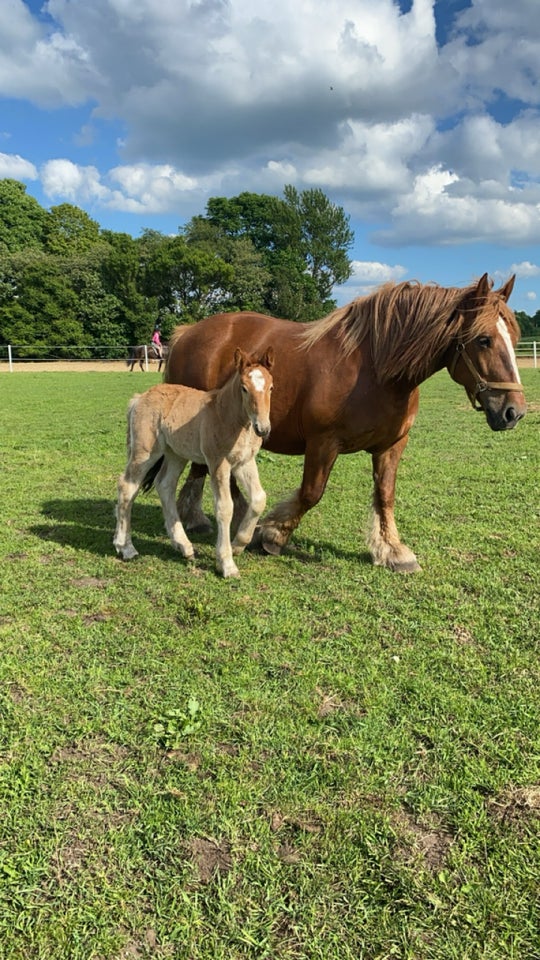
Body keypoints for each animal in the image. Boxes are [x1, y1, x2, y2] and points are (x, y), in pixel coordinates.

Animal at [114, 350, 274, 580]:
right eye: (244, 388)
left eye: (271, 387)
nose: (263, 428)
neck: (227, 415)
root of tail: (139, 399)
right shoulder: (218, 463)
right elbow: (225, 508)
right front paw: (227, 564)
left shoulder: (244, 462)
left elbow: (259, 499)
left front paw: (238, 545)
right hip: (145, 452)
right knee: (127, 487)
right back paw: (126, 548)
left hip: (175, 454)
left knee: (165, 485)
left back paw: (184, 546)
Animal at [159, 274, 524, 568]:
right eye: (484, 340)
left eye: (516, 339)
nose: (514, 411)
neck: (376, 369)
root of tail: (188, 333)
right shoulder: (323, 443)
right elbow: (311, 493)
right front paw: (273, 535)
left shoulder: (392, 445)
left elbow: (385, 494)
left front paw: (393, 551)